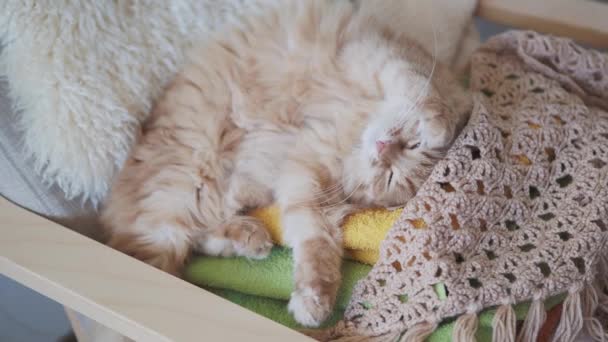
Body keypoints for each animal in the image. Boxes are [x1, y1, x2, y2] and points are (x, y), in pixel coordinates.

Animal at [101, 0, 470, 326]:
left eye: (389, 176)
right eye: (410, 146)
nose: (383, 148)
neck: (355, 126)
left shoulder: (307, 180)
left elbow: (315, 245)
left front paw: (313, 301)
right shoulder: (380, 57)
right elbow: (424, 94)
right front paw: (438, 128)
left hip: (201, 197)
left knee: (193, 236)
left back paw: (250, 238)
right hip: (186, 184)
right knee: (161, 241)